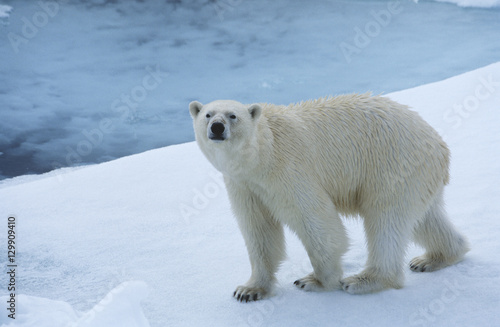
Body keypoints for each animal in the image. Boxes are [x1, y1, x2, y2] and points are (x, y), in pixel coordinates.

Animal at [188, 94, 468, 302]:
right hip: (417, 178)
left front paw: (315, 280)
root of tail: (440, 146)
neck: (262, 154)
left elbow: (314, 218)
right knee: (424, 218)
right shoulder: (244, 185)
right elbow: (259, 229)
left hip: (392, 166)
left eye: (232, 115)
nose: (217, 127)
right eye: (207, 114)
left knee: (386, 220)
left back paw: (364, 280)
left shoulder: (287, 171)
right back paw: (435, 257)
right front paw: (249, 290)